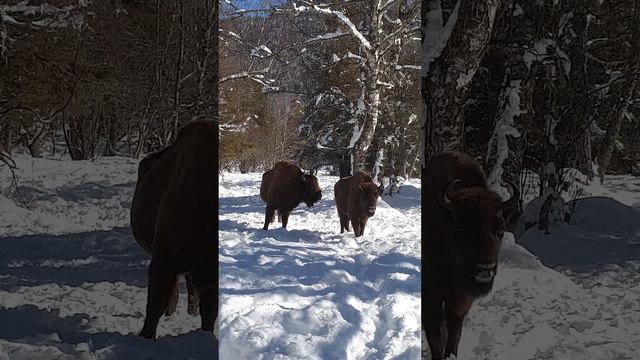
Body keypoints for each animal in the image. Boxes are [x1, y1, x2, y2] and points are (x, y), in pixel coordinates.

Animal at [424, 150, 520, 358]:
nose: (485, 268)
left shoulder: (462, 299)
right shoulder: (431, 295)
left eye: (500, 230)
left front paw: (451, 354)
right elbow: (437, 334)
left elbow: (454, 330)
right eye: (460, 229)